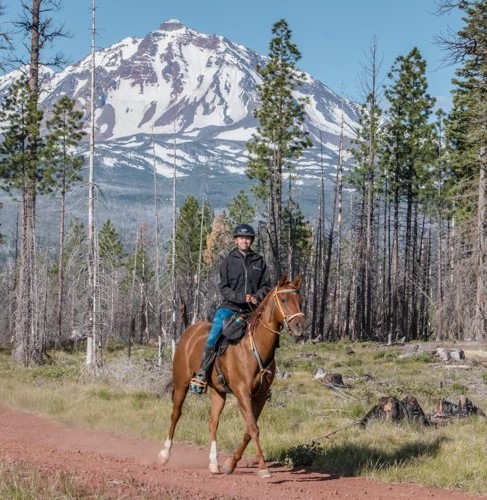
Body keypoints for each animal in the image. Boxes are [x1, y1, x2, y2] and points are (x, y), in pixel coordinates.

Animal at [159, 276, 304, 478]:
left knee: (213, 421)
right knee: (175, 414)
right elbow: (253, 428)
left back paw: (214, 464)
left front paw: (230, 464)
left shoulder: (259, 396)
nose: (300, 326)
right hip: (181, 383)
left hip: (217, 392)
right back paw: (165, 454)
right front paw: (263, 467)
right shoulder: (242, 393)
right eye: (283, 300)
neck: (254, 348)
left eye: (300, 300)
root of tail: (190, 331)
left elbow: (249, 430)